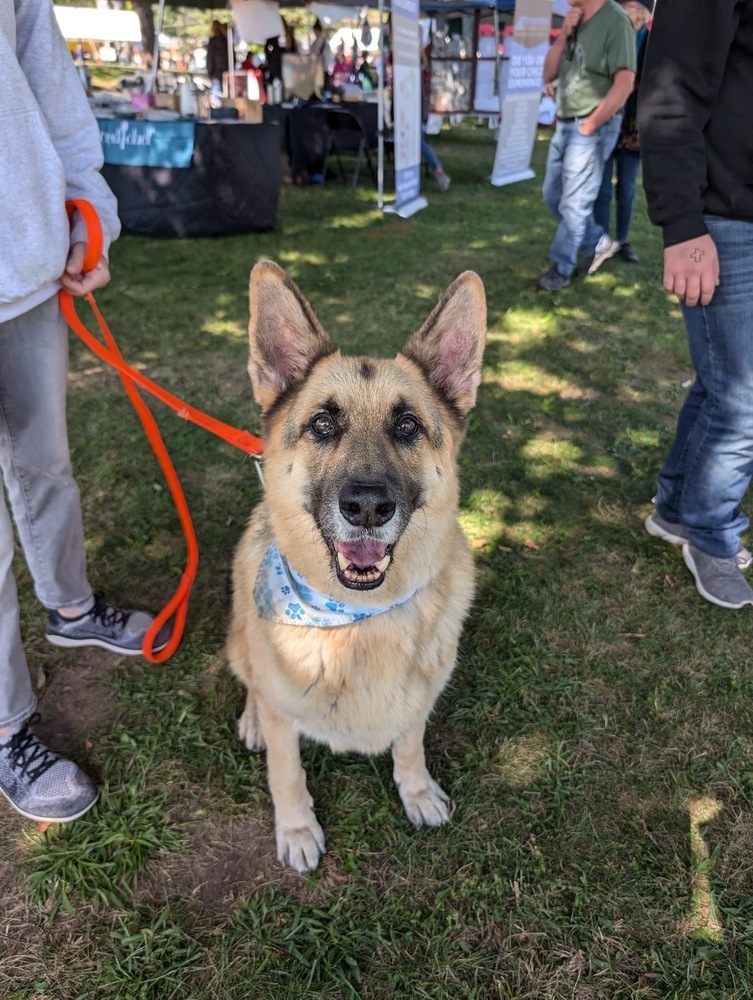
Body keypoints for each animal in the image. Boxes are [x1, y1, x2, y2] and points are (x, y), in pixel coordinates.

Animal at [228, 264, 488, 868]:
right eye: (323, 424)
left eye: (408, 426)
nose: (368, 507)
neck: (356, 620)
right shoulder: (284, 723)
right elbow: (287, 773)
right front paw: (297, 830)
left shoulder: (417, 705)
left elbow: (410, 746)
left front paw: (416, 792)